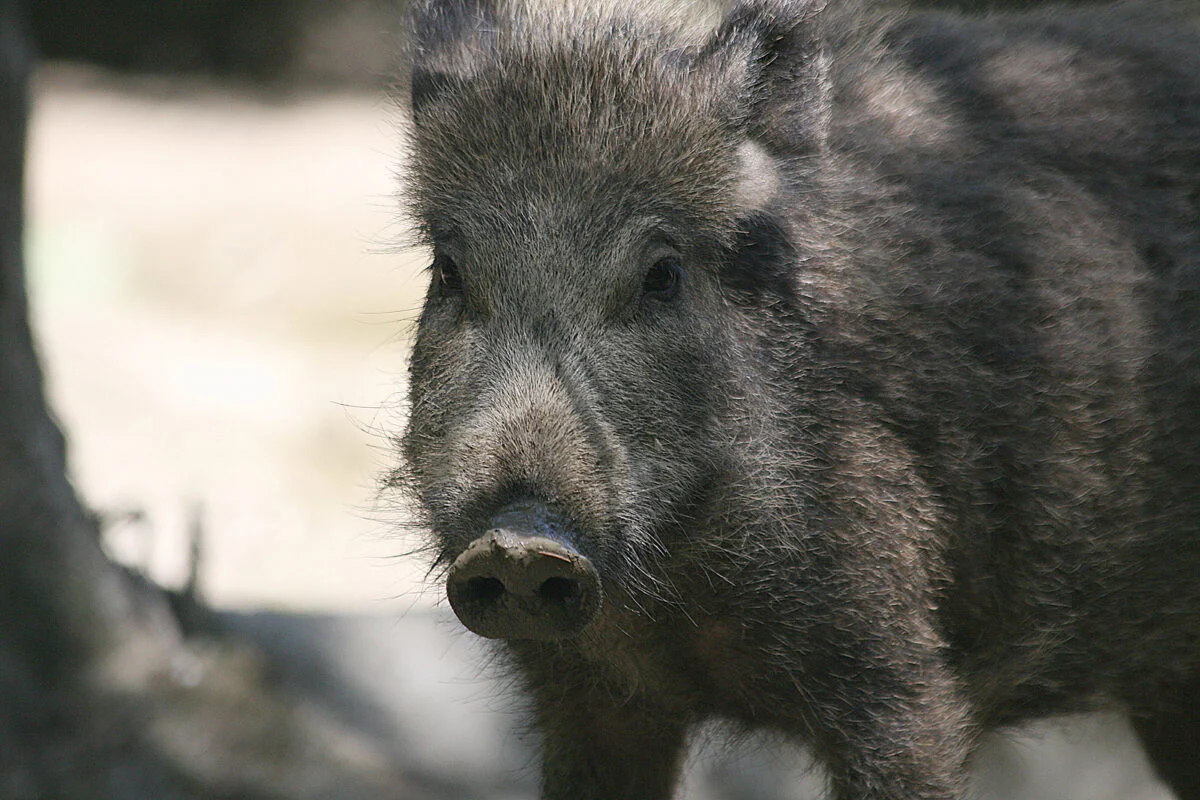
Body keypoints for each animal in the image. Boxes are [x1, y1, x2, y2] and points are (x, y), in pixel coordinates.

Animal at [394, 0, 1200, 797]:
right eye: (449, 272)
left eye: (663, 274)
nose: (516, 544)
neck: (673, 606)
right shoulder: (585, 695)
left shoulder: (898, 669)